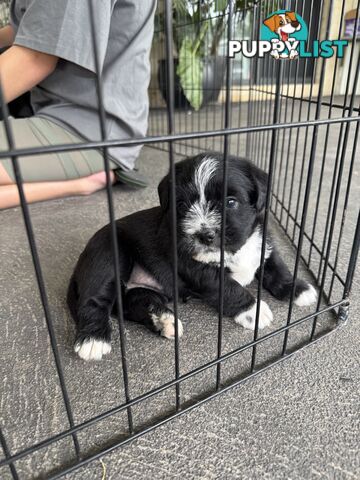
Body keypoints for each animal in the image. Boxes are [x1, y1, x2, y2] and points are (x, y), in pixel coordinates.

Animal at [67, 154, 316, 360]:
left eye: (231, 202)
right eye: (182, 205)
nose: (204, 235)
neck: (235, 250)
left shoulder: (263, 243)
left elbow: (277, 267)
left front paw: (297, 288)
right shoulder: (196, 267)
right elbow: (227, 286)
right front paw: (252, 310)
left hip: (137, 288)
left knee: (133, 302)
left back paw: (164, 321)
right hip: (108, 255)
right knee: (95, 300)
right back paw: (93, 339)